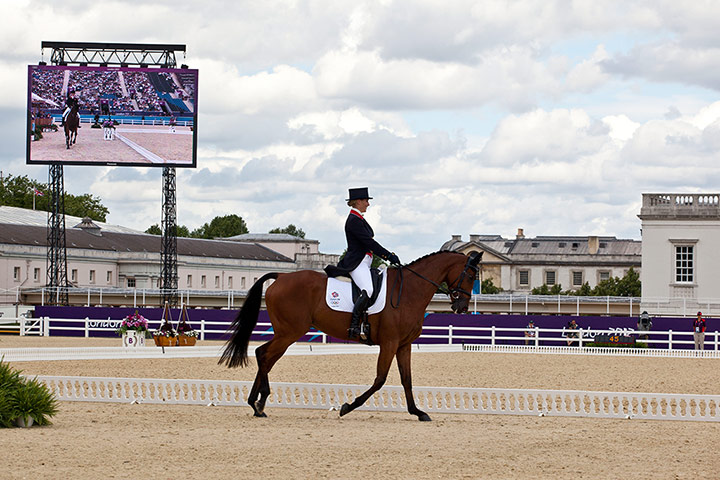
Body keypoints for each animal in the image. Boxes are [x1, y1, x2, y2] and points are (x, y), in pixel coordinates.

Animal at [217, 251, 480, 420]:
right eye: (470, 276)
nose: (462, 307)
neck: (409, 291)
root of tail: (282, 276)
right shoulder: (389, 343)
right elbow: (380, 379)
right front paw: (348, 406)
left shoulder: (403, 345)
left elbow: (407, 379)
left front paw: (418, 412)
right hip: (290, 332)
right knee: (264, 355)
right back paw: (259, 403)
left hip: (286, 333)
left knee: (264, 356)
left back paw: (257, 404)